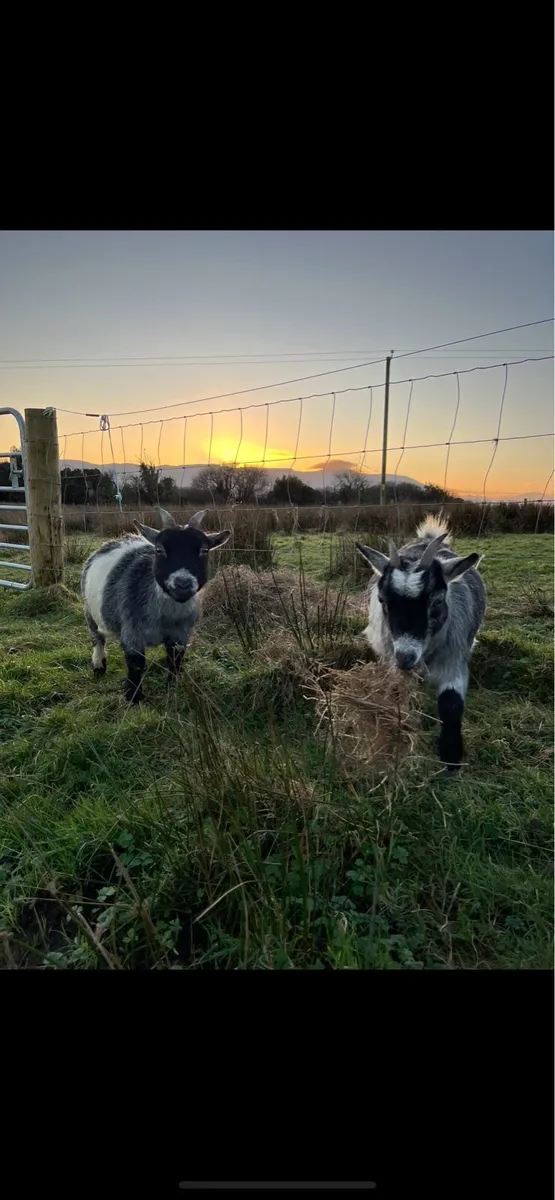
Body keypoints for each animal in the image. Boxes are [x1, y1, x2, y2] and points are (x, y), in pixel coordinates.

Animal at [81, 508, 231, 704]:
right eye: (159, 549)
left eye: (204, 550)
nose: (183, 584)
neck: (165, 617)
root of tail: (121, 538)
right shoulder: (132, 633)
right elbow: (136, 664)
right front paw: (133, 697)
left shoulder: (180, 635)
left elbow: (175, 660)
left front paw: (172, 687)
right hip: (89, 612)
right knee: (97, 638)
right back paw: (99, 666)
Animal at [356, 514, 486, 772]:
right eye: (382, 600)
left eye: (436, 601)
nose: (406, 657)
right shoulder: (391, 660)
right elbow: (397, 694)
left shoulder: (454, 660)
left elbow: (451, 704)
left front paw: (451, 755)